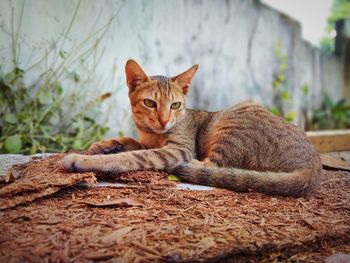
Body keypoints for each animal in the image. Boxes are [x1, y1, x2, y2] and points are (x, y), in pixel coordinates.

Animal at [62, 59, 320, 196]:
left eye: (175, 105)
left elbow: (131, 156)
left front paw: (83, 159)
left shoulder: (178, 149)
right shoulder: (146, 140)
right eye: (149, 103)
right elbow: (128, 140)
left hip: (232, 124)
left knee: (213, 167)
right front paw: (102, 145)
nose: (164, 120)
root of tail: (313, 165)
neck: (153, 134)